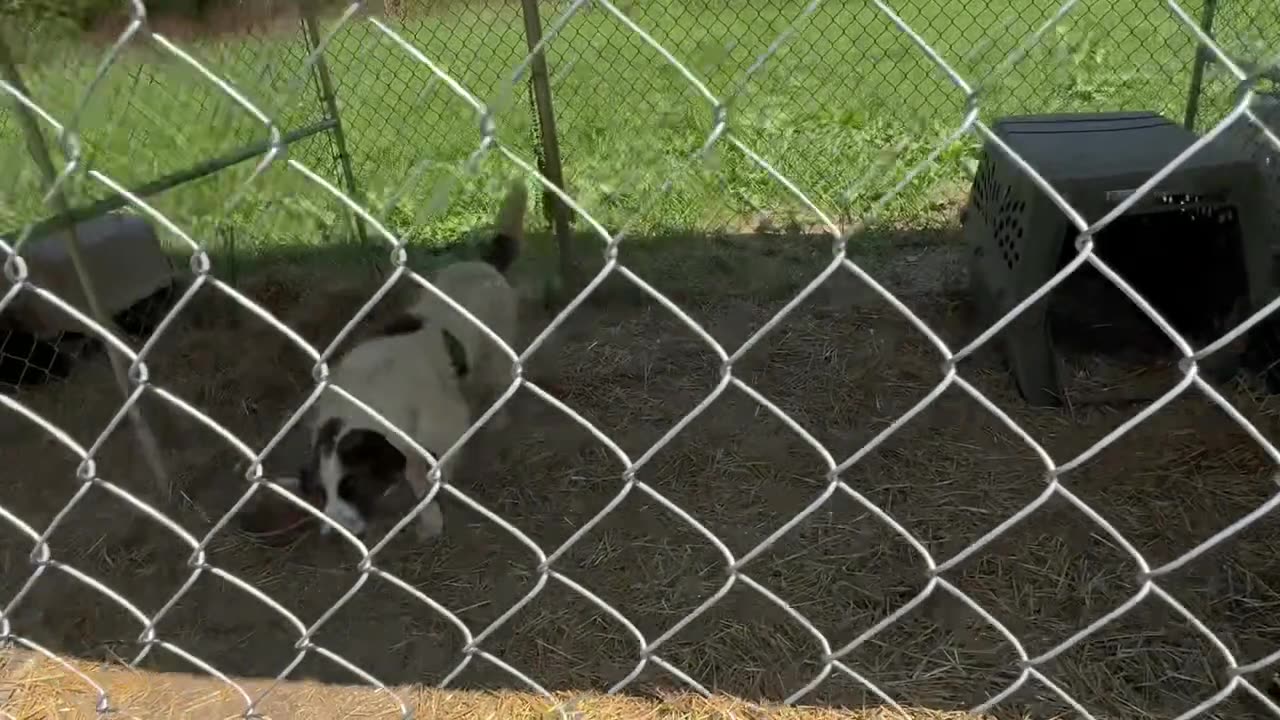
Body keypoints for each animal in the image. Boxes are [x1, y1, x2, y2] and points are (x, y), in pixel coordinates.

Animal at [282, 179, 527, 538]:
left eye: (353, 486)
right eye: (320, 493)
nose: (333, 536)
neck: (367, 397)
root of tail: (484, 264)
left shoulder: (442, 429)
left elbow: (433, 474)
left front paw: (432, 510)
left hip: (497, 352)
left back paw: (498, 418)